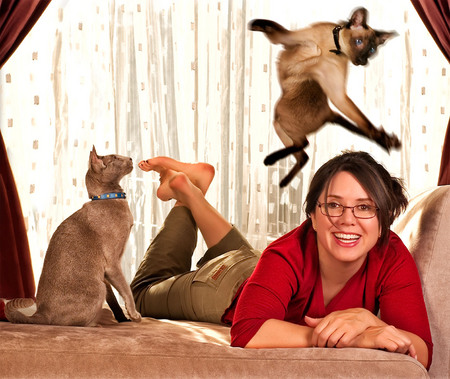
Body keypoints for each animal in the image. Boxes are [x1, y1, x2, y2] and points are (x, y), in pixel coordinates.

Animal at [5, 147, 141, 326]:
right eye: (115, 158)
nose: (131, 158)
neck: (109, 199)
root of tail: (41, 313)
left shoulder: (106, 274)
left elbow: (114, 300)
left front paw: (124, 319)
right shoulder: (113, 264)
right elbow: (126, 289)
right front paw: (135, 315)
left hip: (101, 283)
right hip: (98, 287)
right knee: (83, 323)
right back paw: (100, 322)